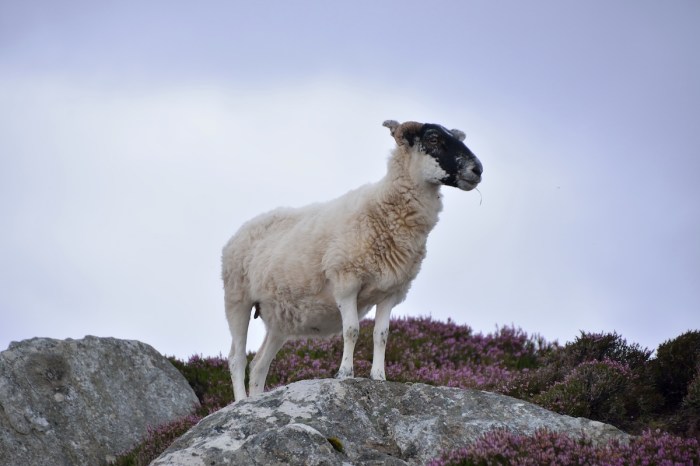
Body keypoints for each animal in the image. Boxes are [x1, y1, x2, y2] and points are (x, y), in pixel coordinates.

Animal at [222, 119, 483, 401]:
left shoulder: (391, 291)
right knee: (237, 358)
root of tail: (240, 231)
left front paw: (379, 377)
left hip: (279, 318)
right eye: (433, 138)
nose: (478, 169)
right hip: (237, 298)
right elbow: (352, 330)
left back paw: (256, 399)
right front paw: (345, 373)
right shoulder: (346, 282)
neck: (386, 210)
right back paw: (240, 402)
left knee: (260, 365)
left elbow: (381, 335)